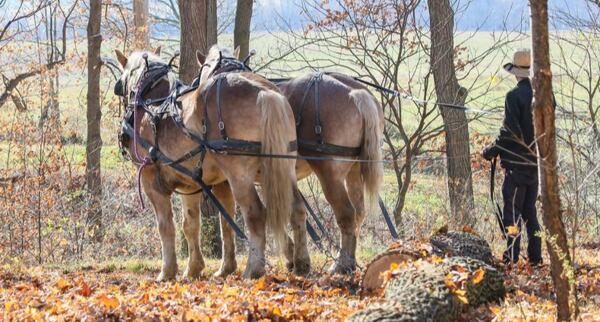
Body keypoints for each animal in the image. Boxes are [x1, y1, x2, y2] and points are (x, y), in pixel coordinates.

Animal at [113, 46, 310, 280]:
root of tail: (266, 93)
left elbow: (166, 225)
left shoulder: (151, 179)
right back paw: (301, 262)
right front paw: (197, 268)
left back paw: (254, 268)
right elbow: (194, 224)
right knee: (296, 208)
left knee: (256, 214)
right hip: (282, 167)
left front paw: (167, 271)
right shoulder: (194, 183)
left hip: (240, 175)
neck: (152, 103)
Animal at [217, 70, 384, 274]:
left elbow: (227, 218)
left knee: (346, 213)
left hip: (330, 174)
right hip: (354, 169)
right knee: (358, 212)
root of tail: (357, 94)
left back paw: (341, 264)